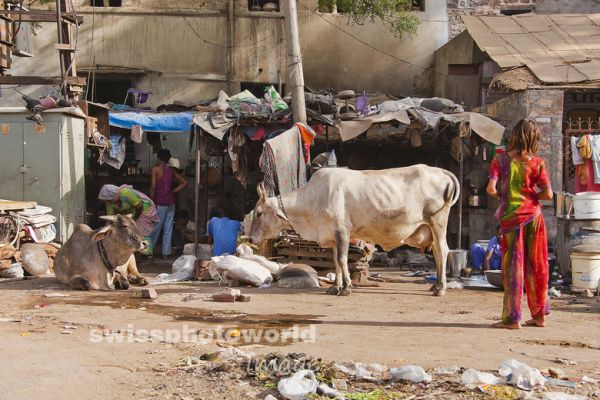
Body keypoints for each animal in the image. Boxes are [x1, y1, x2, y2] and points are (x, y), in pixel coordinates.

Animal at [248, 164, 460, 296]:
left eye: (258, 213)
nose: (250, 238)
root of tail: (440, 171)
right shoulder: (332, 236)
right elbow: (335, 261)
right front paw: (335, 286)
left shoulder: (342, 231)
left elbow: (342, 260)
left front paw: (347, 287)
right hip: (431, 228)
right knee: (437, 253)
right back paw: (435, 286)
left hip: (437, 222)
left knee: (442, 251)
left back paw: (441, 288)